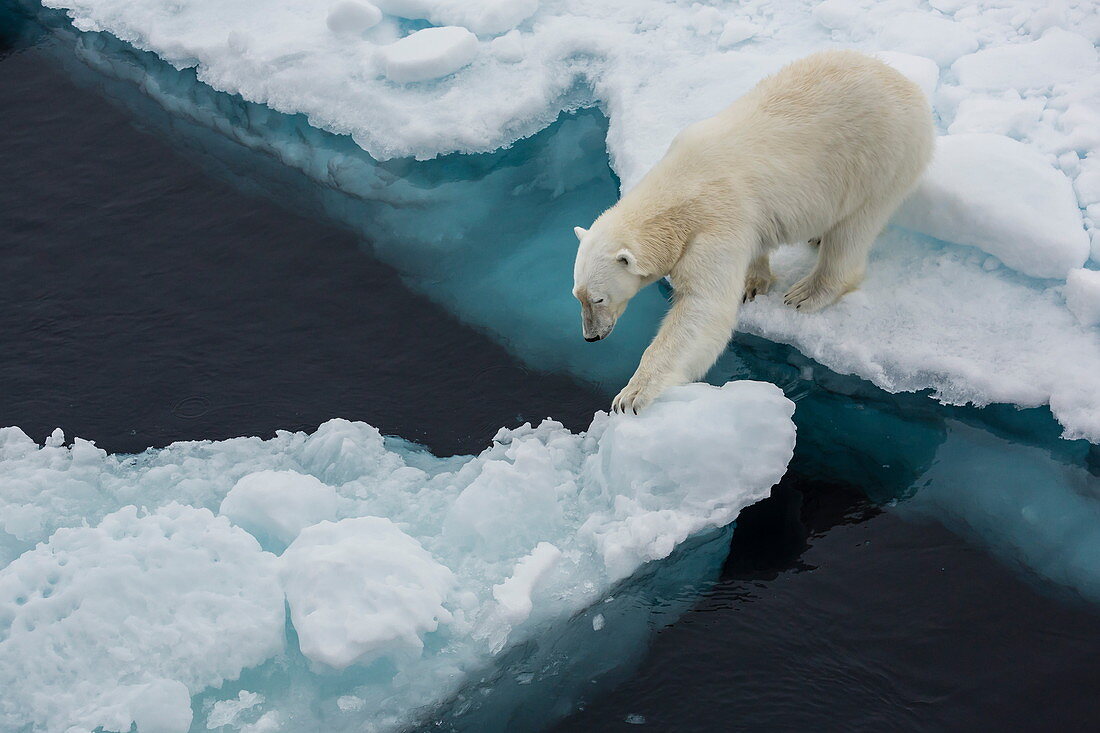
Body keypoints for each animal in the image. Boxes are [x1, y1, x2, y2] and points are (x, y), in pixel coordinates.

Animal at [572, 51, 932, 413]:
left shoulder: (717, 221)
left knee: (854, 230)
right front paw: (752, 283)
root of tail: (908, 86)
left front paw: (632, 394)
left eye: (599, 298)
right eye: (578, 295)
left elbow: (704, 308)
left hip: (880, 158)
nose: (591, 336)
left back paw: (807, 293)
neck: (679, 189)